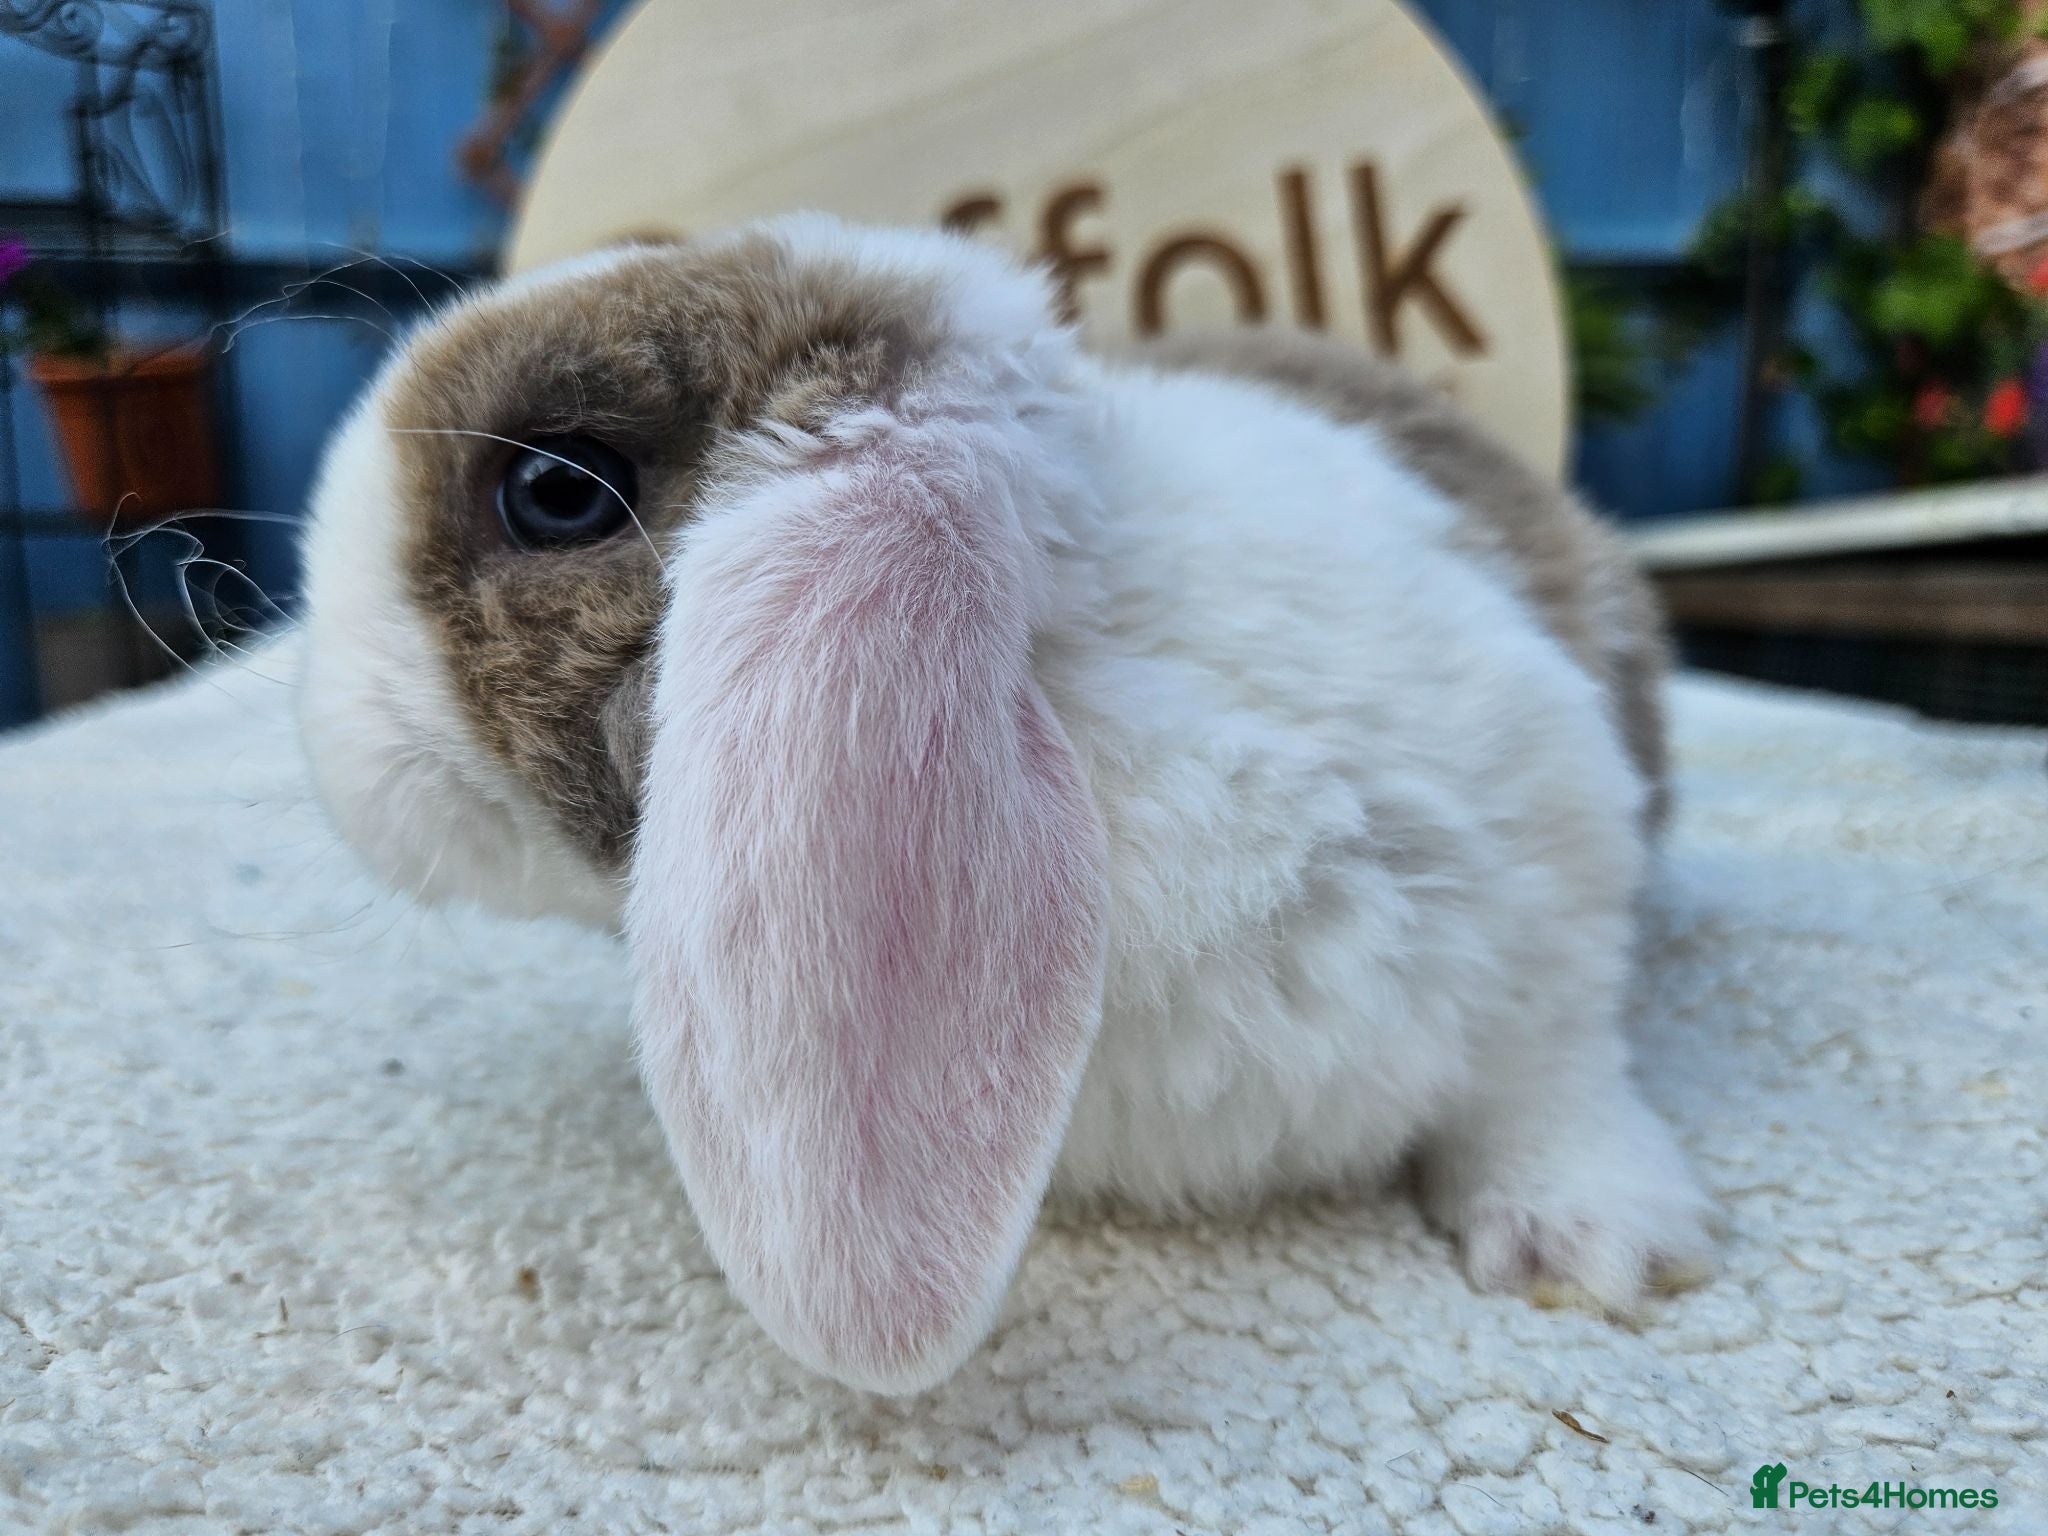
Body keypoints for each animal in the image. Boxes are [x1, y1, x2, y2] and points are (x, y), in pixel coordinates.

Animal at [298, 213, 1712, 1396]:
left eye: (556, 489)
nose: (327, 731)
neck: (1077, 672)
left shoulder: (1551, 868)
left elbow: (1545, 1072)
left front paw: (1587, 1248)